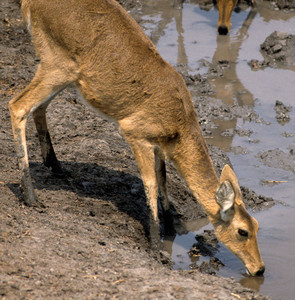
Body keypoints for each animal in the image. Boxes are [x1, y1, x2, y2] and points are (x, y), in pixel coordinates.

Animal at [9, 0, 266, 276]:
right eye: (242, 231)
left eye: (257, 225)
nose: (259, 269)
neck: (179, 119)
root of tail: (30, 3)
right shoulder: (136, 137)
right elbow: (150, 184)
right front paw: (155, 245)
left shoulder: (159, 147)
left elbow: (163, 180)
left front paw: (171, 228)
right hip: (56, 68)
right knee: (18, 106)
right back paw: (32, 198)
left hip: (62, 77)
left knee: (40, 108)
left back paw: (56, 166)